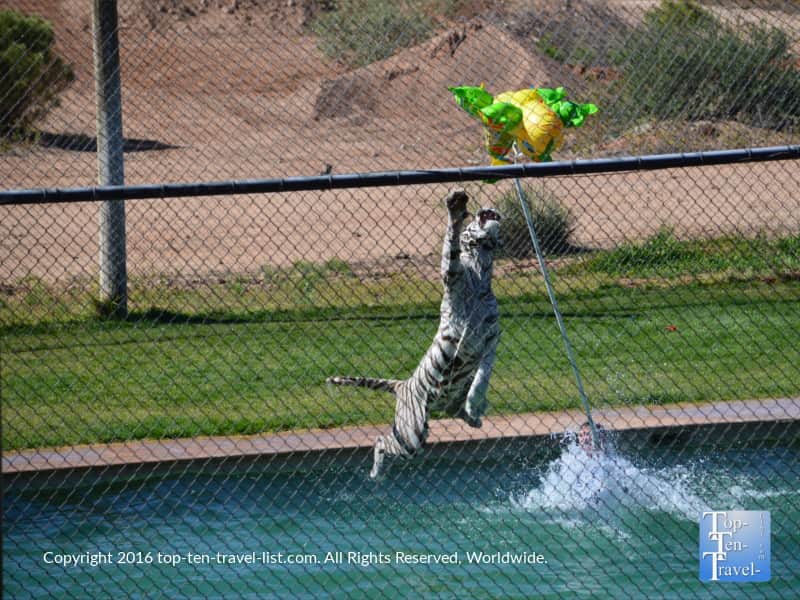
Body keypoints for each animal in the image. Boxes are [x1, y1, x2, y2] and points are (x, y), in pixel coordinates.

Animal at [327, 189, 501, 478]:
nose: (487, 208)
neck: (480, 271)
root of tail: (402, 385)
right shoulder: (451, 274)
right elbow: (451, 243)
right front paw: (456, 208)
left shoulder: (491, 339)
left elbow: (483, 376)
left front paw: (476, 401)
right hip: (413, 434)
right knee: (381, 441)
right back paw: (376, 473)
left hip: (433, 415)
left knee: (455, 410)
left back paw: (473, 417)